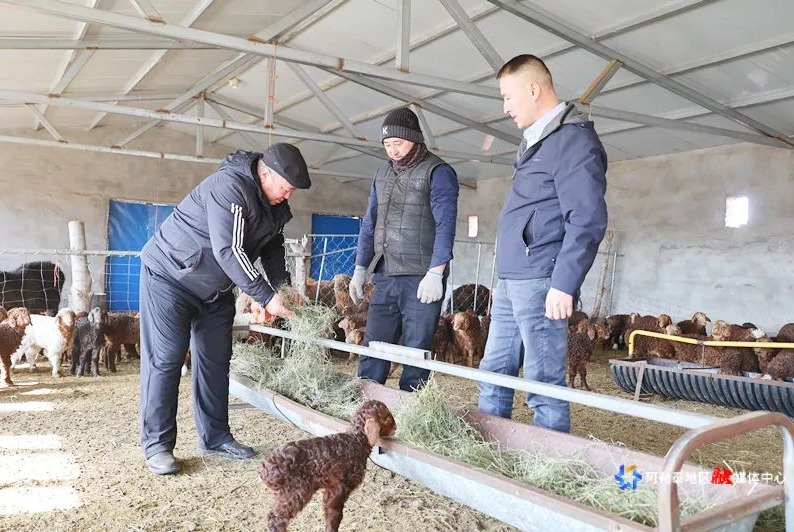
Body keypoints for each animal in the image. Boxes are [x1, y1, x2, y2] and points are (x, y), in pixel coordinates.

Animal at [258, 400, 396, 532]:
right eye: (387, 418)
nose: (395, 428)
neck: (355, 443)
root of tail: (265, 469)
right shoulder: (340, 486)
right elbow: (335, 514)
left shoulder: (331, 487)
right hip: (295, 490)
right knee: (275, 518)